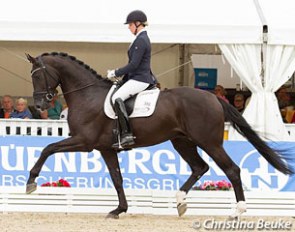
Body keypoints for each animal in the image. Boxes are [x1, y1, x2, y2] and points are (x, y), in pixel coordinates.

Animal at [25, 52, 294, 219]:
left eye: (37, 75)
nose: (39, 105)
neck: (87, 95)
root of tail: (213, 98)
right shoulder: (106, 148)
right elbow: (117, 179)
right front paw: (119, 210)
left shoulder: (84, 142)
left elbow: (48, 148)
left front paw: (31, 182)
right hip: (182, 141)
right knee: (200, 167)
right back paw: (180, 201)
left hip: (209, 142)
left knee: (232, 170)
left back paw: (237, 211)